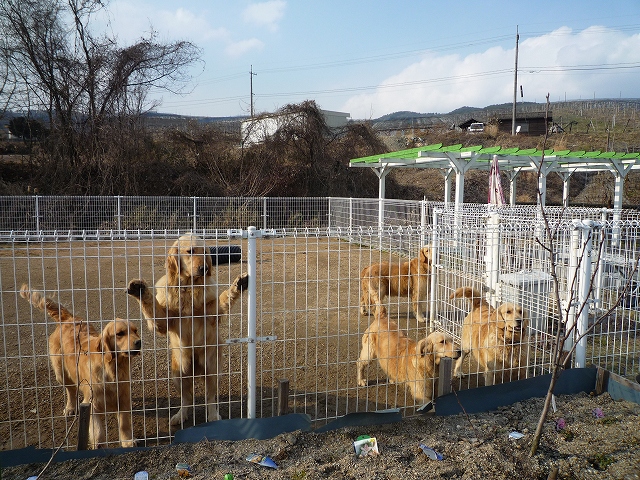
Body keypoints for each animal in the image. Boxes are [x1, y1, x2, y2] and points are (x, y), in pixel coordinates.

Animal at [20, 284, 141, 448]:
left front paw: (127, 441)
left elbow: (125, 423)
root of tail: (69, 319)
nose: (139, 342)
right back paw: (70, 408)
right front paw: (98, 445)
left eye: (135, 331)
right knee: (71, 391)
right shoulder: (91, 404)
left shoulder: (123, 398)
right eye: (120, 333)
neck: (112, 369)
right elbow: (98, 431)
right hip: (61, 373)